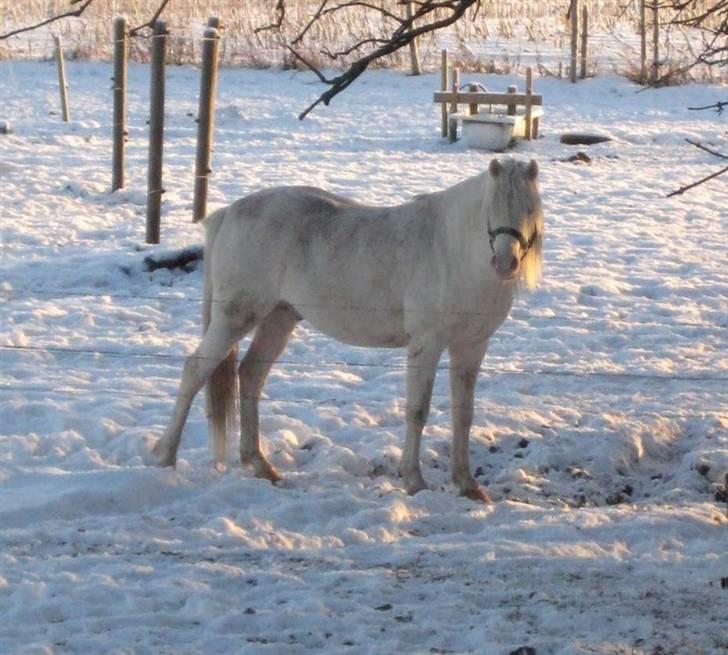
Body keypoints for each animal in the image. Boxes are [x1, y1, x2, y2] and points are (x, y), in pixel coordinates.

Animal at [152, 157, 544, 502]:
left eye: (529, 209)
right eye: (491, 208)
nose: (505, 263)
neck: (454, 252)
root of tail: (229, 213)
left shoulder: (471, 347)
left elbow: (464, 414)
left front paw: (467, 486)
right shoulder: (427, 345)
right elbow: (418, 411)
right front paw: (414, 481)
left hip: (279, 318)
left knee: (250, 375)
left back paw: (261, 466)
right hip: (236, 317)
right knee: (195, 371)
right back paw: (165, 457)